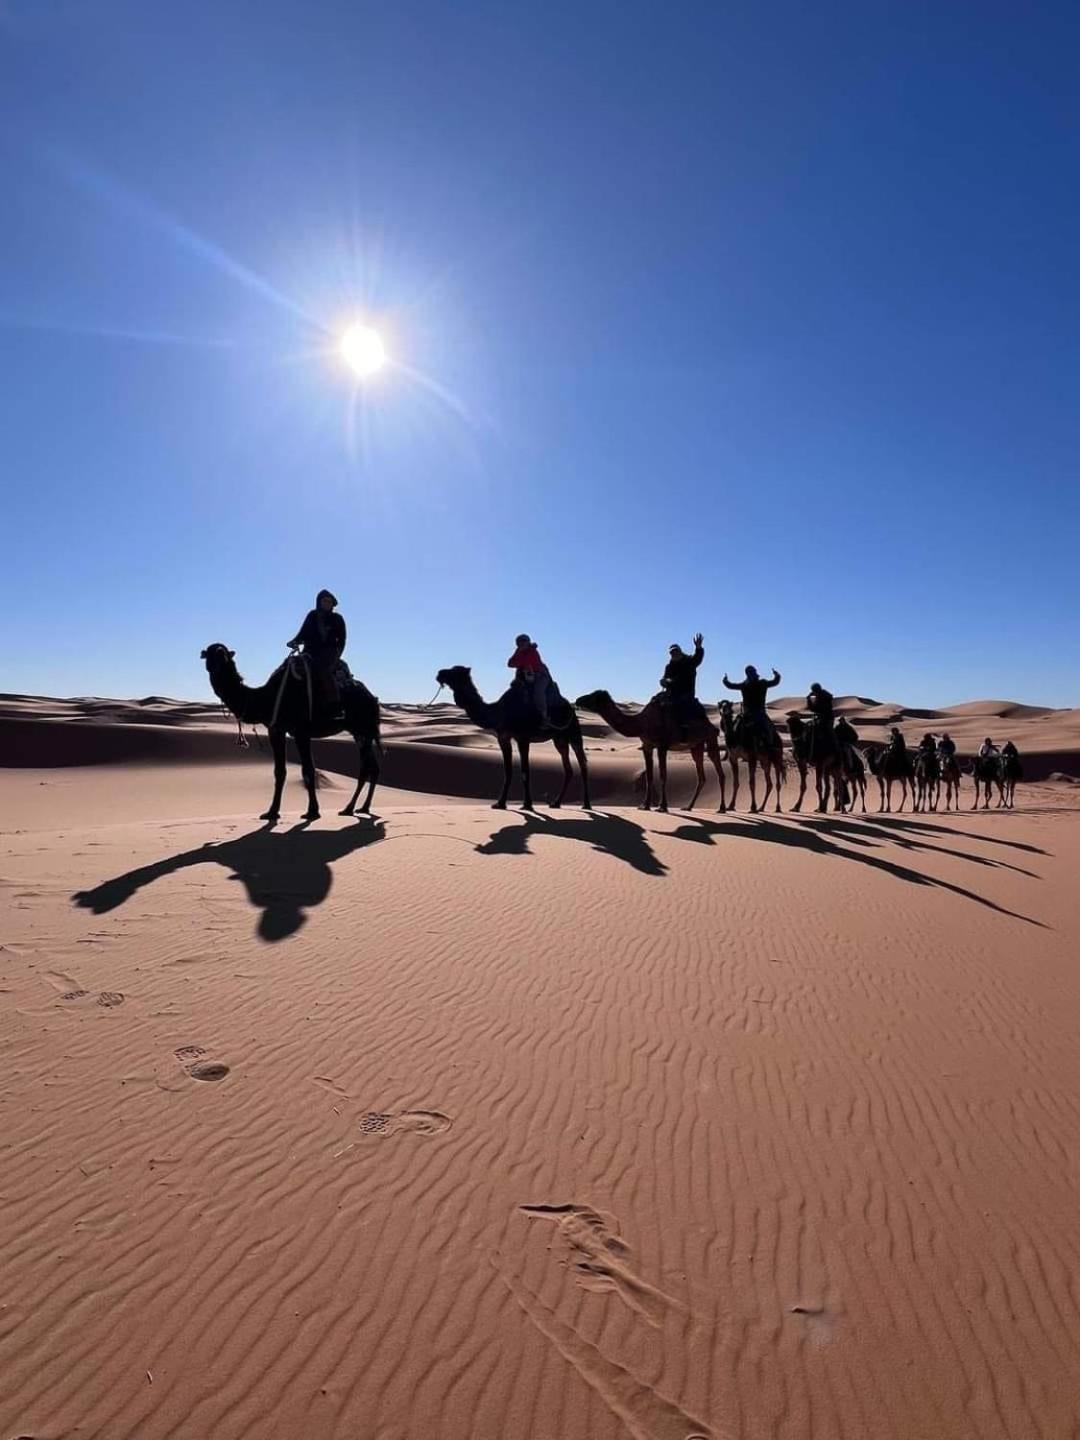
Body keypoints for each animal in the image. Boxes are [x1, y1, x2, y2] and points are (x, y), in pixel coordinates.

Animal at [437, 665, 596, 812]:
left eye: (454, 671)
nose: (440, 673)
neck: (500, 712)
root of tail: (570, 707)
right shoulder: (503, 738)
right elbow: (508, 771)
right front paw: (500, 803)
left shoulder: (523, 738)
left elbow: (525, 771)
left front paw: (527, 804)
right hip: (559, 739)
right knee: (568, 769)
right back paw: (556, 803)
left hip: (573, 732)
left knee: (583, 764)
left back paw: (586, 804)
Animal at [576, 685, 728, 812]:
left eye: (593, 696)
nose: (578, 700)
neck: (642, 723)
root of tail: (709, 722)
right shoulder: (647, 746)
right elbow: (649, 776)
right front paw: (645, 805)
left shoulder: (662, 746)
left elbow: (662, 775)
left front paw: (662, 806)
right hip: (696, 745)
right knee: (701, 775)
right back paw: (688, 807)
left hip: (710, 738)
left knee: (719, 771)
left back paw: (721, 808)